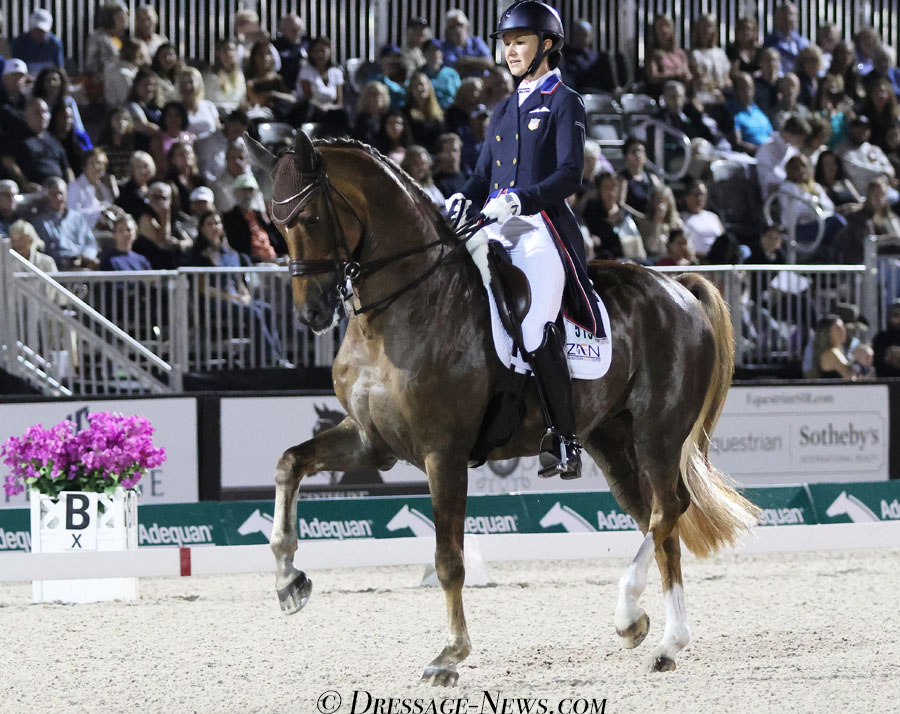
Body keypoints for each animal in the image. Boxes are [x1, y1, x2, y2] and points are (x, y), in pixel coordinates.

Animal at [251, 131, 760, 680]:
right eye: (276, 225)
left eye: (310, 219)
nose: (312, 313)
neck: (398, 312)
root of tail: (676, 287)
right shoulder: (373, 442)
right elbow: (289, 463)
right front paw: (289, 580)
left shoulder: (443, 453)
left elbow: (449, 558)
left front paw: (451, 654)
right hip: (613, 443)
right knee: (657, 520)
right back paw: (664, 639)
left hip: (657, 433)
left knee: (668, 510)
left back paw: (633, 616)